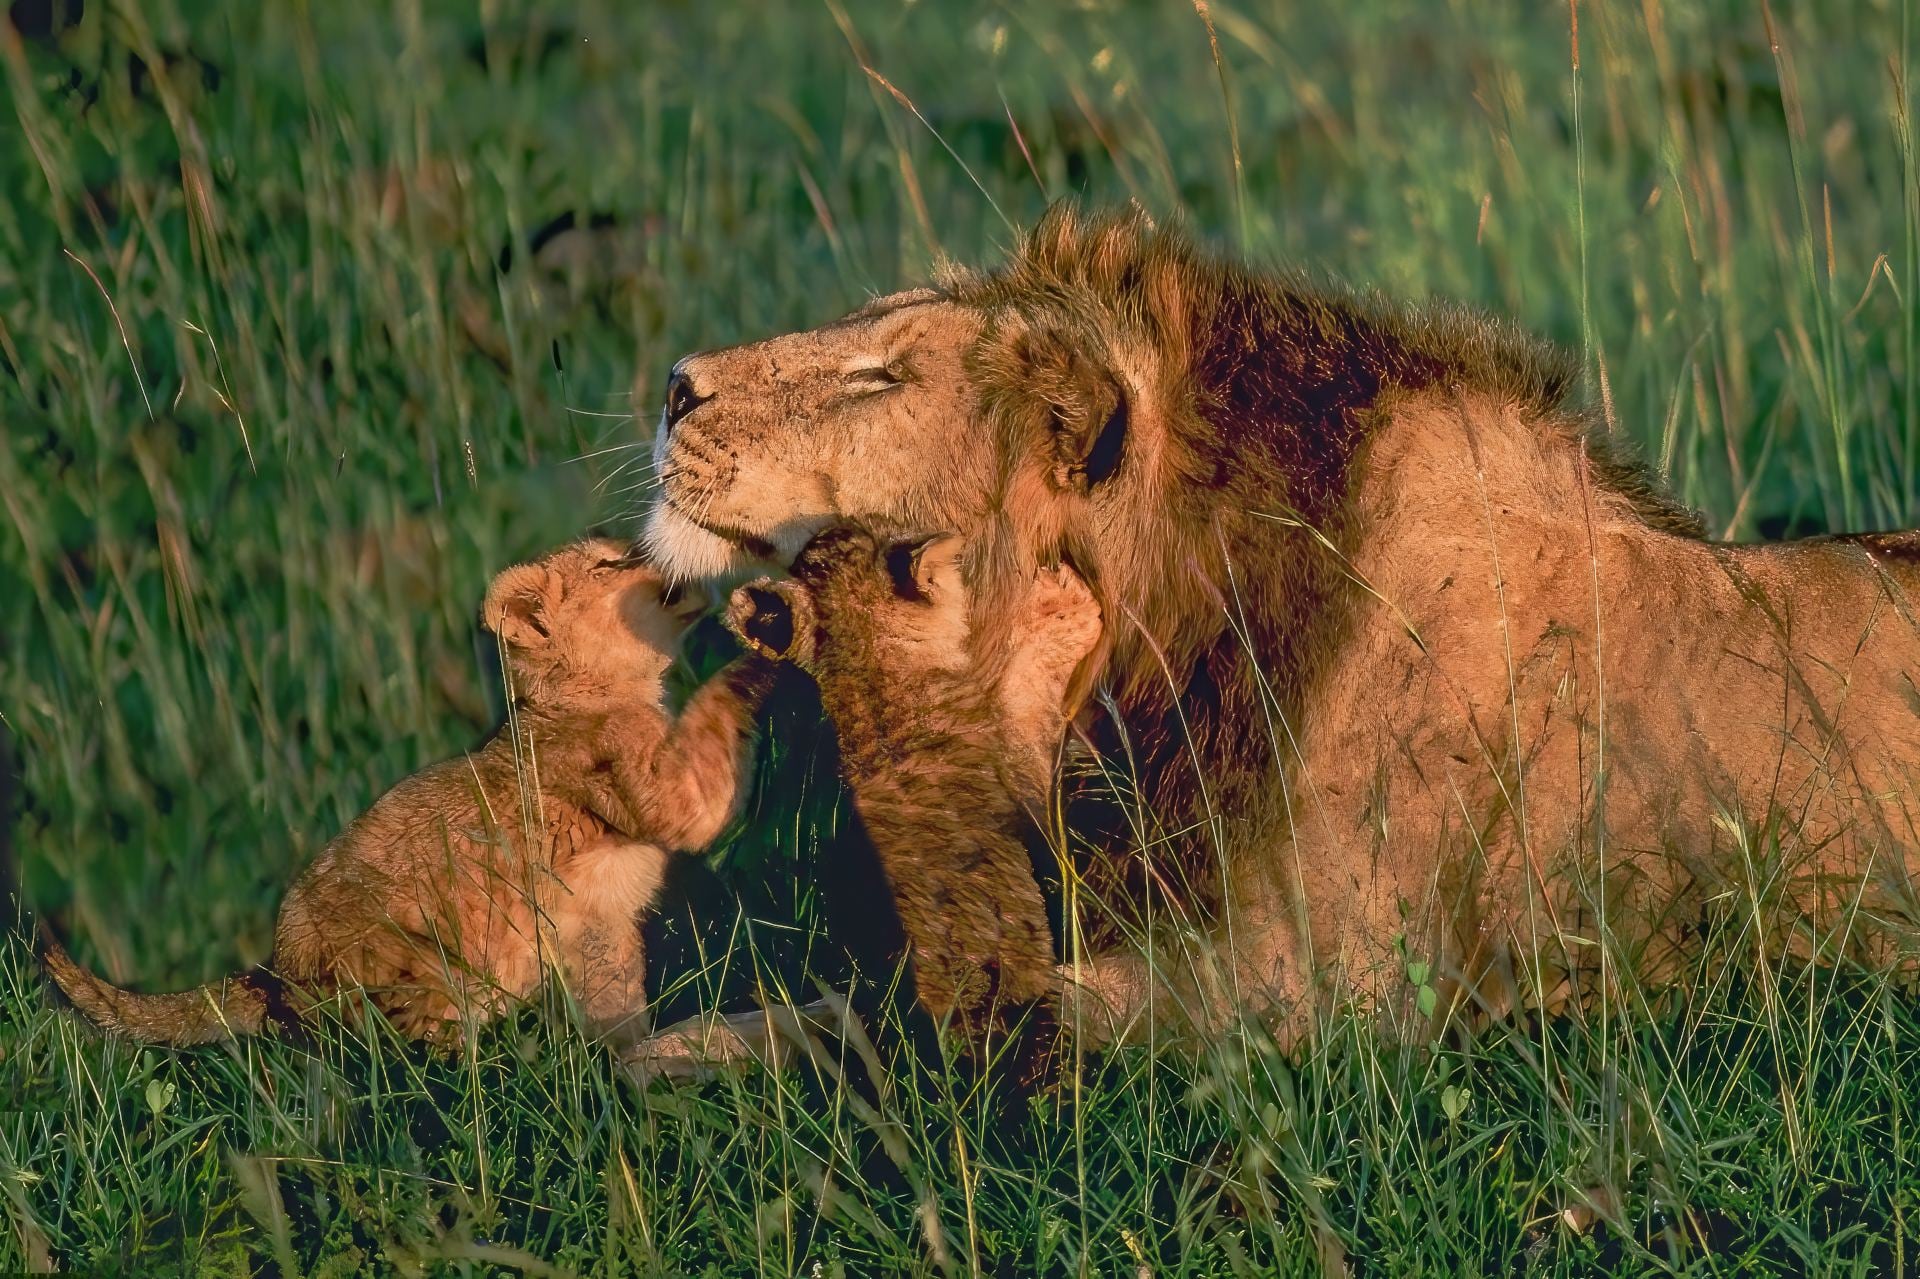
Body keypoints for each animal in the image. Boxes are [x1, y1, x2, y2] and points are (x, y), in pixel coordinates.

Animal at [43, 539, 774, 1047]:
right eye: (609, 560)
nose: (662, 550)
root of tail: (273, 972)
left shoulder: (601, 933)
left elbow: (617, 1015)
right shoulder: (652, 786)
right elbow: (708, 757)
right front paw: (762, 637)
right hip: (427, 972)